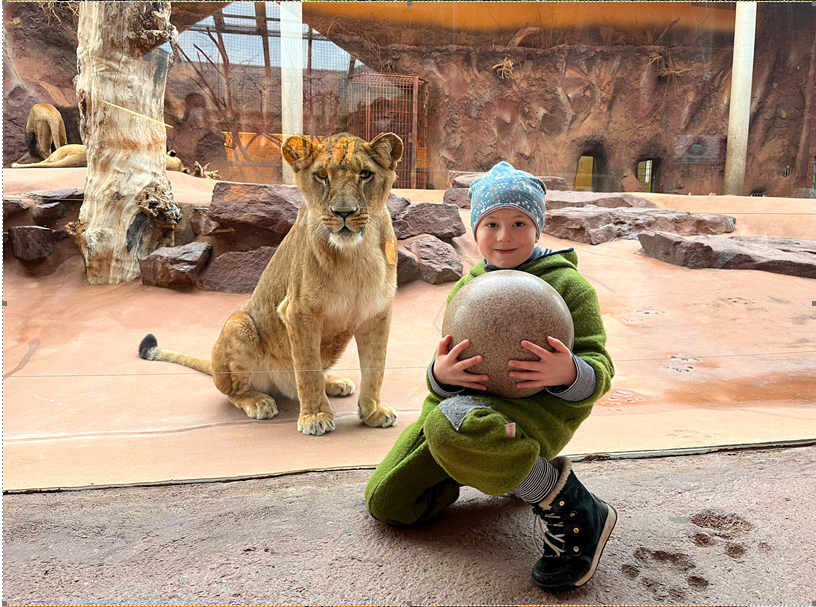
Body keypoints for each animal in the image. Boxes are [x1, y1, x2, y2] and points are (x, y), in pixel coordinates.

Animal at [143, 133, 404, 436]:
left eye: (365, 175)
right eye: (322, 175)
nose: (343, 212)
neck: (356, 255)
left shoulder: (378, 313)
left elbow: (376, 367)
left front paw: (373, 412)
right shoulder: (298, 311)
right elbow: (308, 368)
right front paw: (315, 416)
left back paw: (334, 383)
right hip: (239, 324)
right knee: (234, 391)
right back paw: (259, 401)